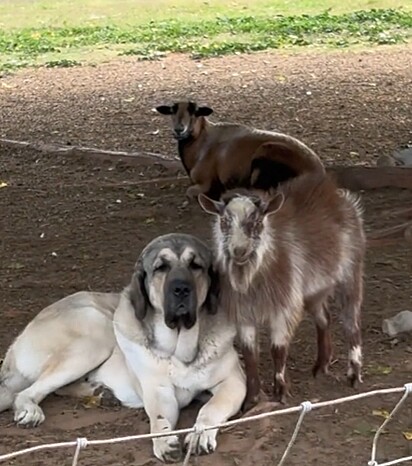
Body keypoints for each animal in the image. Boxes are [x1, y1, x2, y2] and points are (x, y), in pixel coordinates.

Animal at [0, 233, 246, 462]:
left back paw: (98, 392)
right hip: (96, 332)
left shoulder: (234, 382)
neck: (179, 349)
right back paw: (31, 410)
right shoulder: (158, 390)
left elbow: (211, 407)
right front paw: (165, 440)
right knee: (27, 392)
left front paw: (199, 433)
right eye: (161, 268)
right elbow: (159, 417)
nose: (181, 289)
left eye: (196, 265)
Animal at [154, 101, 326, 199]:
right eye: (172, 110)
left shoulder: (205, 183)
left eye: (195, 111)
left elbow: (191, 192)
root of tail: (318, 172)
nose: (179, 130)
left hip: (266, 154)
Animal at [198, 173, 366, 410]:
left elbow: (278, 349)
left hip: (350, 272)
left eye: (257, 222)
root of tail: (337, 194)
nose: (239, 250)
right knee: (324, 318)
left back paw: (354, 374)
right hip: (314, 289)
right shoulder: (244, 313)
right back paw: (320, 366)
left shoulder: (284, 307)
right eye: (224, 222)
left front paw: (281, 393)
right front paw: (251, 399)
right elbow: (250, 354)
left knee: (352, 323)